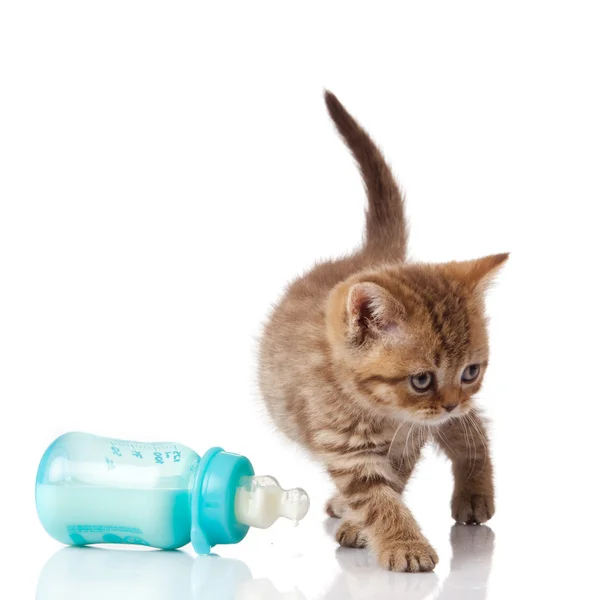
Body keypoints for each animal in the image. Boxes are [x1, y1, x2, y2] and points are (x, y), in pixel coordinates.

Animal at [260, 91, 508, 576]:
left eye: (470, 371)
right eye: (422, 379)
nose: (451, 400)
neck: (380, 410)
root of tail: (371, 257)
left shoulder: (410, 436)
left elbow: (390, 484)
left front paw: (377, 534)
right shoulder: (347, 446)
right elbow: (376, 494)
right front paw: (401, 541)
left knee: (473, 427)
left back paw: (474, 494)